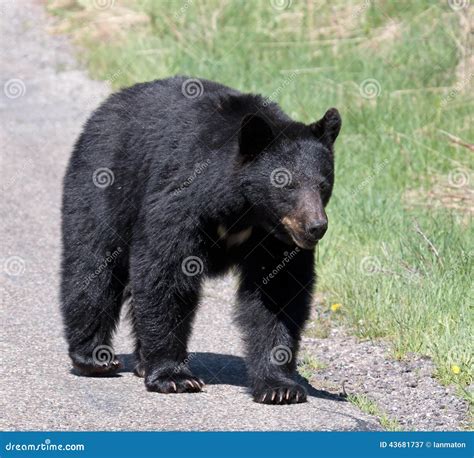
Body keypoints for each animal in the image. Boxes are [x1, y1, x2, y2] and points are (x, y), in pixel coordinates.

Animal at [61, 76, 340, 404]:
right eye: (286, 183)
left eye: (323, 185)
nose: (315, 227)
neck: (242, 210)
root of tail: (111, 102)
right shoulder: (181, 201)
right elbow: (166, 273)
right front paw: (174, 377)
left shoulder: (274, 238)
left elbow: (278, 292)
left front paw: (280, 386)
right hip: (107, 178)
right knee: (93, 260)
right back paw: (94, 357)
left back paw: (141, 361)